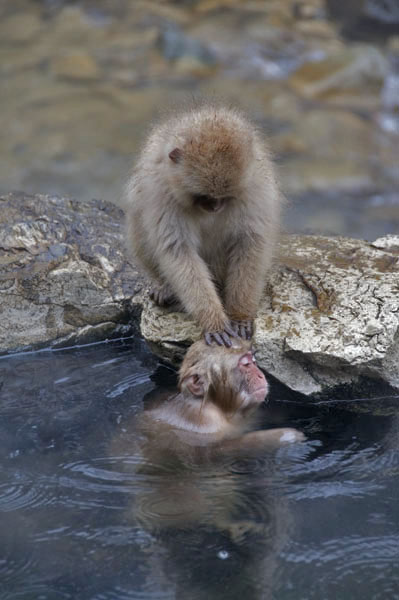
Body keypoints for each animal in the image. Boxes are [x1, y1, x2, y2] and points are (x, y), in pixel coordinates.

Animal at [125, 105, 282, 344]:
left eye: (224, 196)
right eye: (205, 196)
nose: (214, 207)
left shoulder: (255, 188)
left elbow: (250, 243)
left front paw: (240, 314)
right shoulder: (164, 194)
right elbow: (178, 250)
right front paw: (213, 320)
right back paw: (164, 287)